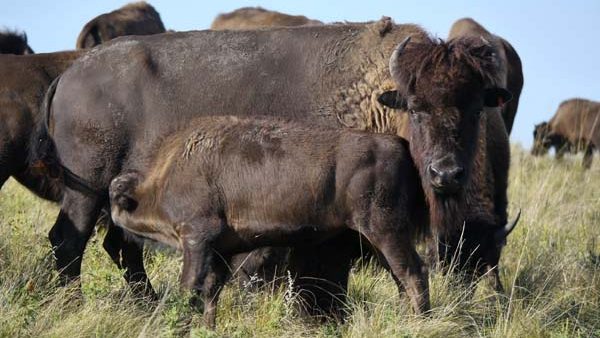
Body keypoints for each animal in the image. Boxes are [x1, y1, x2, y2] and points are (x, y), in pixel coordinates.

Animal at [106, 116, 426, 328]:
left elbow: (190, 288)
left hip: (385, 231)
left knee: (412, 273)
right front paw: (208, 327)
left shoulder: (196, 238)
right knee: (401, 277)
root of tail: (397, 143)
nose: (113, 234)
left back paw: (418, 321)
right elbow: (211, 291)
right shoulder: (221, 251)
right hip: (377, 239)